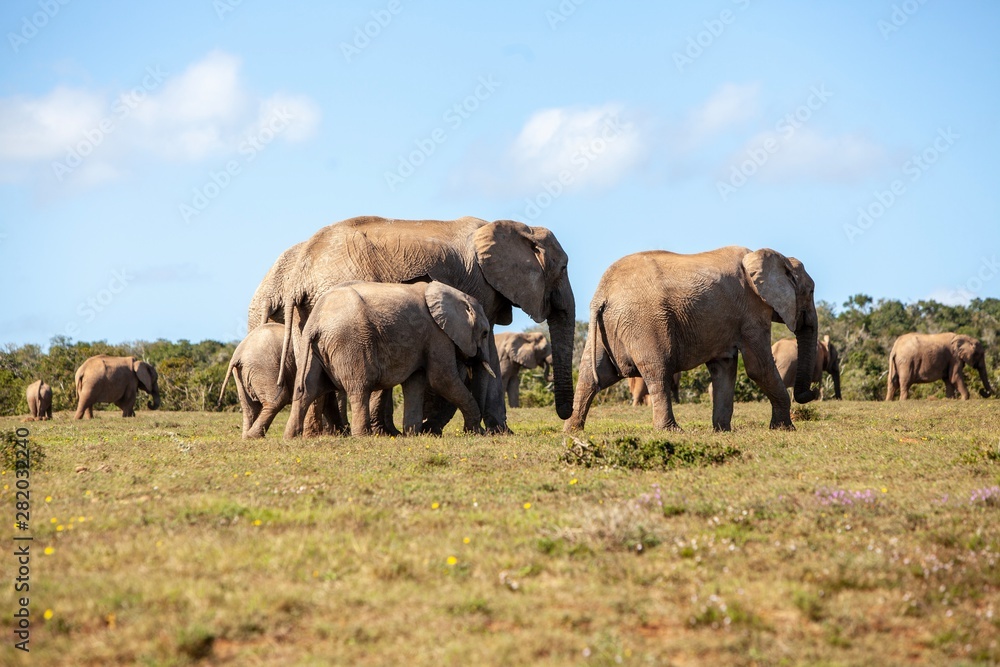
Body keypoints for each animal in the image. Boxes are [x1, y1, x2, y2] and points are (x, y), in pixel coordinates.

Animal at [284, 280, 494, 438]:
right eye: (484, 333)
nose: (485, 431)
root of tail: (316, 320)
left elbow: (416, 381)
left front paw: (413, 434)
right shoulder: (437, 334)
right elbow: (442, 379)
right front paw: (475, 432)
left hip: (312, 348)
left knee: (307, 390)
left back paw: (291, 437)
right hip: (350, 342)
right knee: (359, 388)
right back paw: (363, 436)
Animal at [568, 247, 816, 434]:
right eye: (811, 290)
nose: (811, 394)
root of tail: (603, 293)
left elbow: (724, 368)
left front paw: (722, 431)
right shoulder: (752, 312)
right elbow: (759, 368)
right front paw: (785, 429)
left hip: (606, 327)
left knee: (591, 375)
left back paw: (572, 430)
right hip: (643, 323)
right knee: (659, 372)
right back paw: (671, 431)